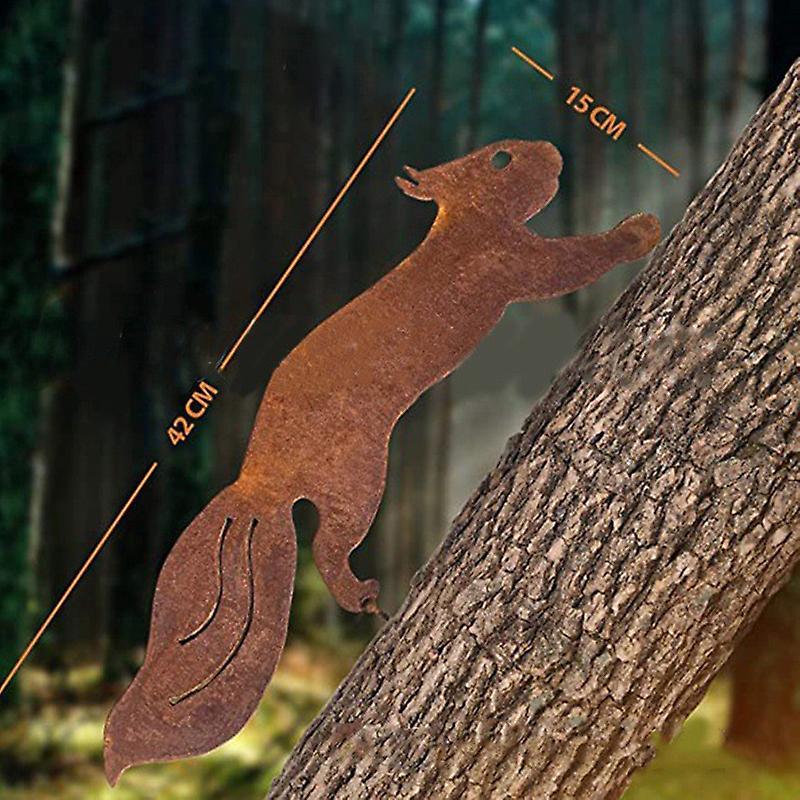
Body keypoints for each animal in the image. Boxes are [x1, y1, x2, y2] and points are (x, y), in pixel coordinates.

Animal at [104, 140, 660, 783]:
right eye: (500, 158)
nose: (551, 151)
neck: (459, 225)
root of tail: (259, 483)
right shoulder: (510, 260)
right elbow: (570, 262)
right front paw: (640, 229)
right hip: (359, 481)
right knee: (327, 547)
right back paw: (364, 595)